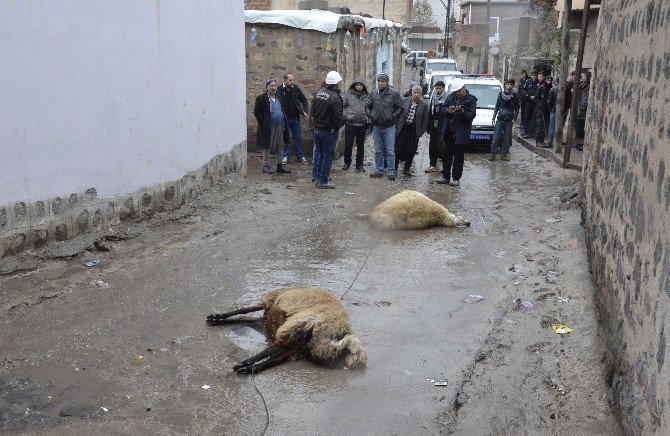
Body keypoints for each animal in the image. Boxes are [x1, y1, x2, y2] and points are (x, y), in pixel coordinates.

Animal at [207, 286, 370, 374]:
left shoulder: (271, 303)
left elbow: (244, 310)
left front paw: (216, 318)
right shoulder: (269, 317)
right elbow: (244, 315)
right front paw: (217, 319)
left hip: (295, 330)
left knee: (273, 350)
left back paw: (244, 365)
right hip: (299, 344)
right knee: (277, 356)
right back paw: (249, 369)